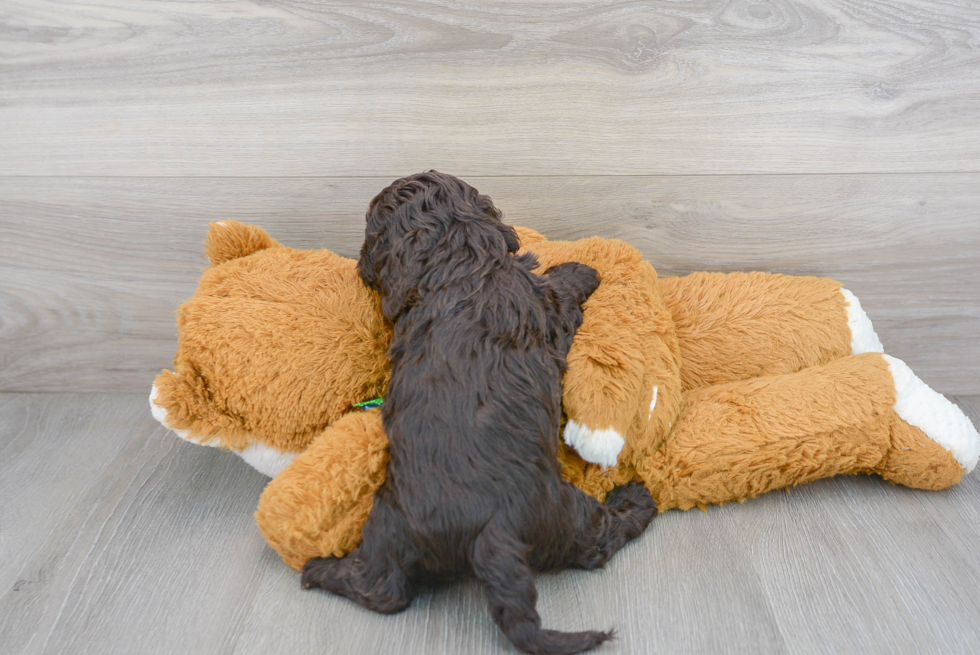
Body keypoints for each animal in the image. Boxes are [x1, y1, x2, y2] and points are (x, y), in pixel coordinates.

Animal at [304, 172, 660, 652]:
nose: (359, 266)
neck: (459, 265)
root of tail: (490, 532)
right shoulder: (548, 311)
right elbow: (558, 287)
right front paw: (581, 269)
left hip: (388, 524)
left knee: (384, 589)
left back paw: (318, 569)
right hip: (563, 513)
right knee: (598, 539)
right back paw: (635, 499)